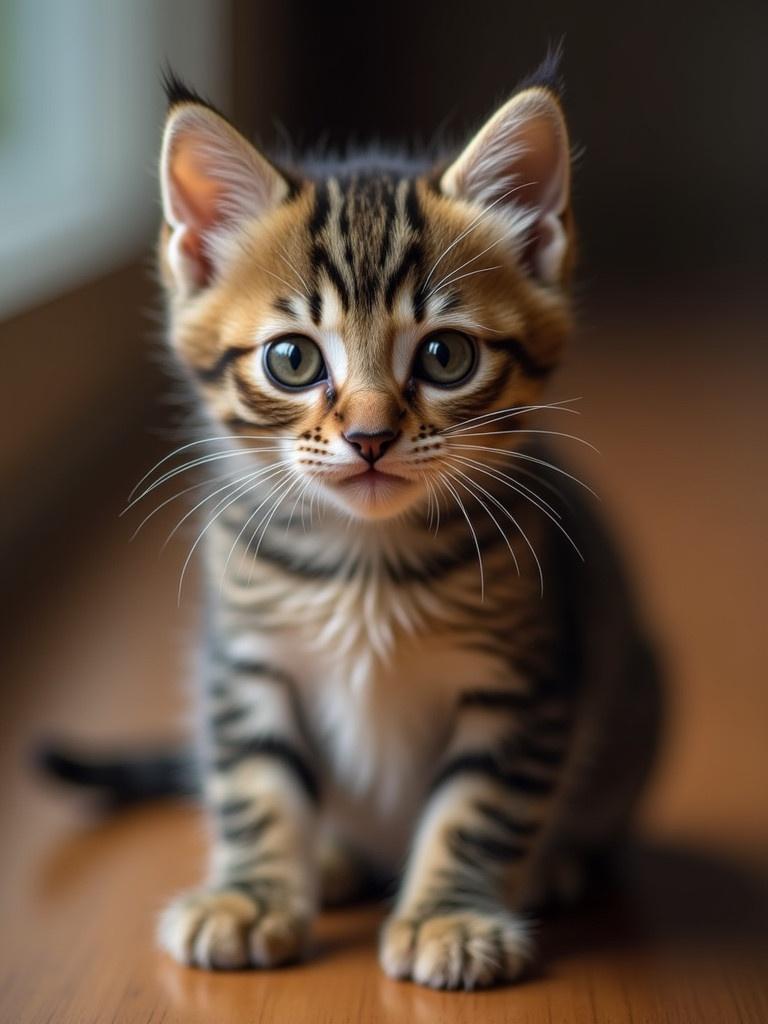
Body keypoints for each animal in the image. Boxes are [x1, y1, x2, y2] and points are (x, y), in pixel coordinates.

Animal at [137, 66, 663, 991]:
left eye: (446, 356)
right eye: (292, 359)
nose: (371, 435)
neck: (365, 561)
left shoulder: (522, 681)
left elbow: (479, 807)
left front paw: (452, 916)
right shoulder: (246, 663)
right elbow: (255, 785)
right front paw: (253, 898)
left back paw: (559, 865)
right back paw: (332, 858)